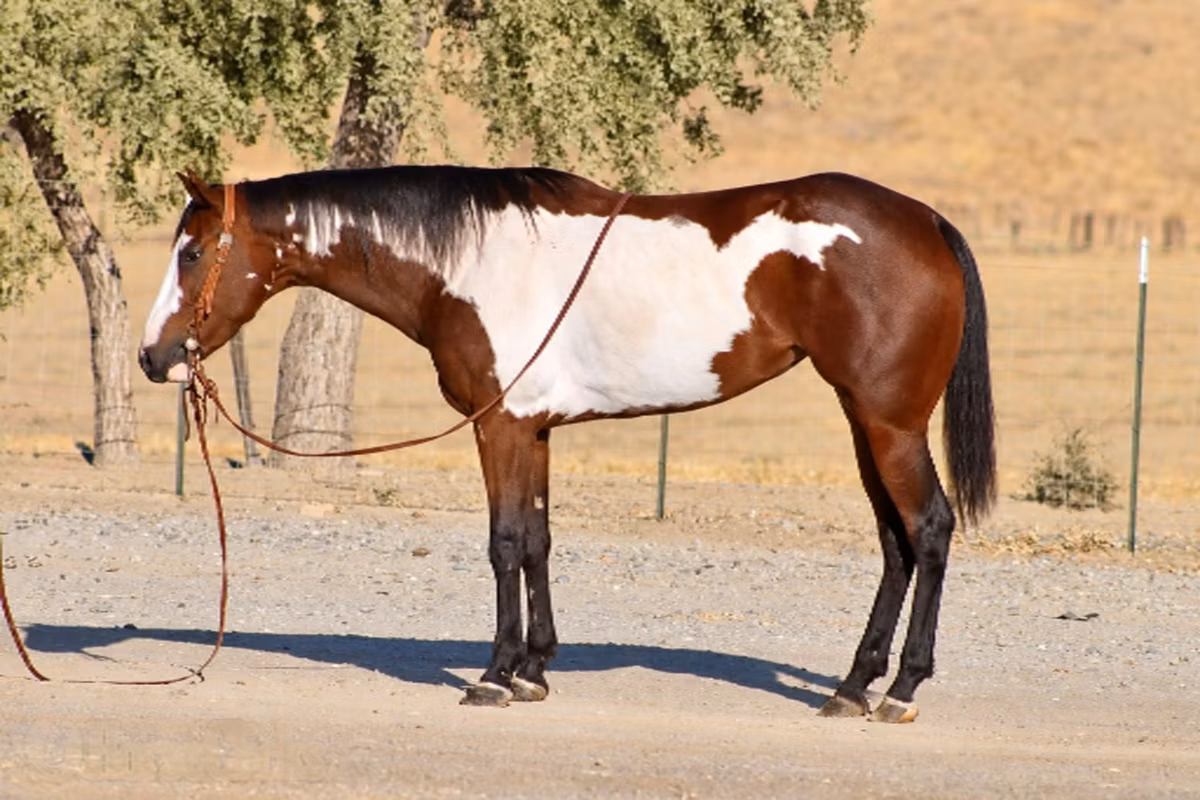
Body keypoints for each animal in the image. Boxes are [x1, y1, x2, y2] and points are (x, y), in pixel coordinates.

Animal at [138, 165, 995, 723]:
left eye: (191, 252)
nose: (152, 357)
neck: (467, 261)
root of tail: (927, 221)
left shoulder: (499, 425)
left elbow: (504, 543)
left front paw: (493, 675)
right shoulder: (535, 428)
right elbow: (538, 540)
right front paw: (534, 671)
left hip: (887, 423)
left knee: (928, 530)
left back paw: (901, 690)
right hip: (862, 420)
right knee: (894, 542)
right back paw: (853, 686)